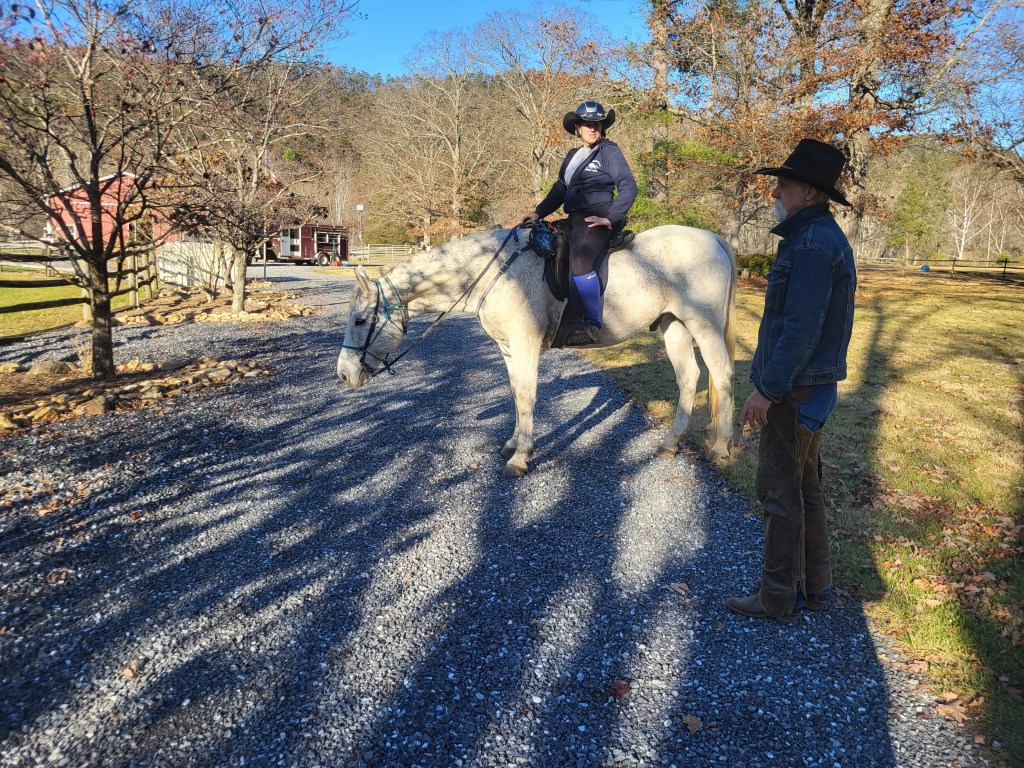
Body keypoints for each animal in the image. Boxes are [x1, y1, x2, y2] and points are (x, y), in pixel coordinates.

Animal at [335, 225, 736, 478]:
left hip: (704, 325)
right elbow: (516, 393)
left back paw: (720, 448)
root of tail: (715, 239)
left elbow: (527, 395)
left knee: (722, 376)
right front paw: (515, 443)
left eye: (359, 319)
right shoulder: (508, 348)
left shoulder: (525, 343)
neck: (496, 271)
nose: (343, 374)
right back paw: (671, 442)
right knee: (689, 378)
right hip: (674, 326)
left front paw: (521, 457)